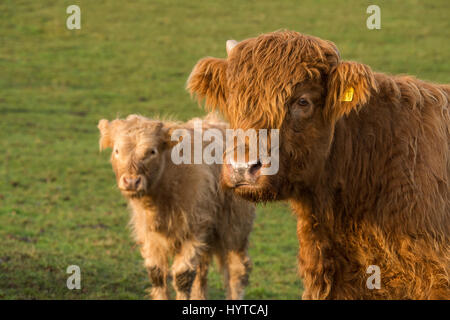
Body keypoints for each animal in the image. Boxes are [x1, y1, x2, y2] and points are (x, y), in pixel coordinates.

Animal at [97, 114, 255, 298]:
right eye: (116, 151)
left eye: (152, 151)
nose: (131, 181)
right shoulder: (149, 235)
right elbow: (157, 275)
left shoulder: (194, 230)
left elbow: (182, 277)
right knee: (202, 272)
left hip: (235, 228)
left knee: (237, 271)